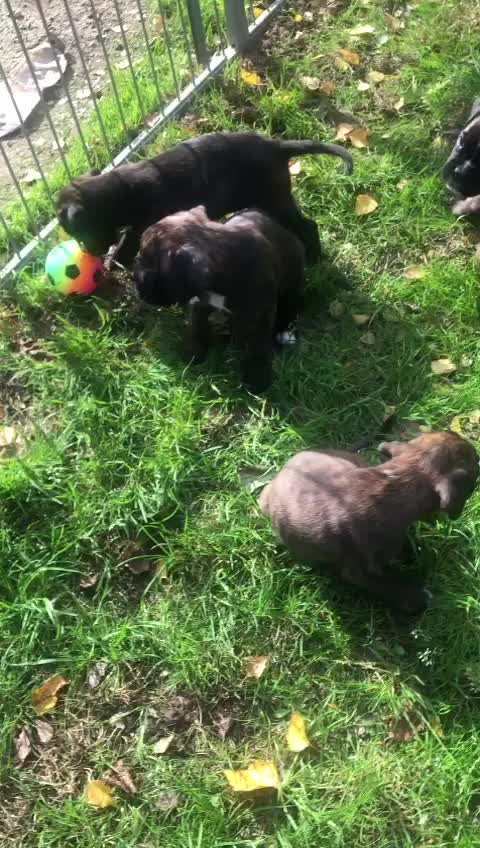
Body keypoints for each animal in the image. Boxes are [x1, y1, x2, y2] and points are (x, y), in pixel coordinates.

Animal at [56, 131, 352, 264]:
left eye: (78, 231)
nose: (88, 252)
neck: (118, 192)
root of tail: (276, 146)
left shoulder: (143, 223)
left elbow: (129, 241)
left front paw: (116, 260)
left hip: (275, 199)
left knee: (307, 226)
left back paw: (314, 258)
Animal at [132, 205, 304, 394]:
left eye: (143, 263)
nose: (136, 284)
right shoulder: (199, 303)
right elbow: (197, 327)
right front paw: (194, 354)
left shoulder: (260, 315)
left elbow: (257, 347)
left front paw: (256, 379)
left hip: (293, 284)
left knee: (291, 305)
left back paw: (285, 331)